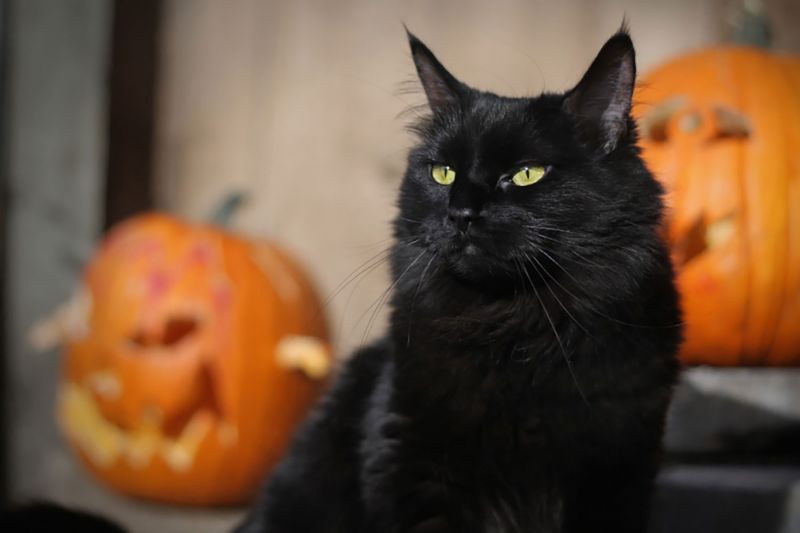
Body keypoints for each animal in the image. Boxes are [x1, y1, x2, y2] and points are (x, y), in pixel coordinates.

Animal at [238, 27, 680, 532]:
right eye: (443, 172)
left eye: (527, 174)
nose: (462, 213)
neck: (512, 334)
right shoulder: (413, 465)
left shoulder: (618, 472)